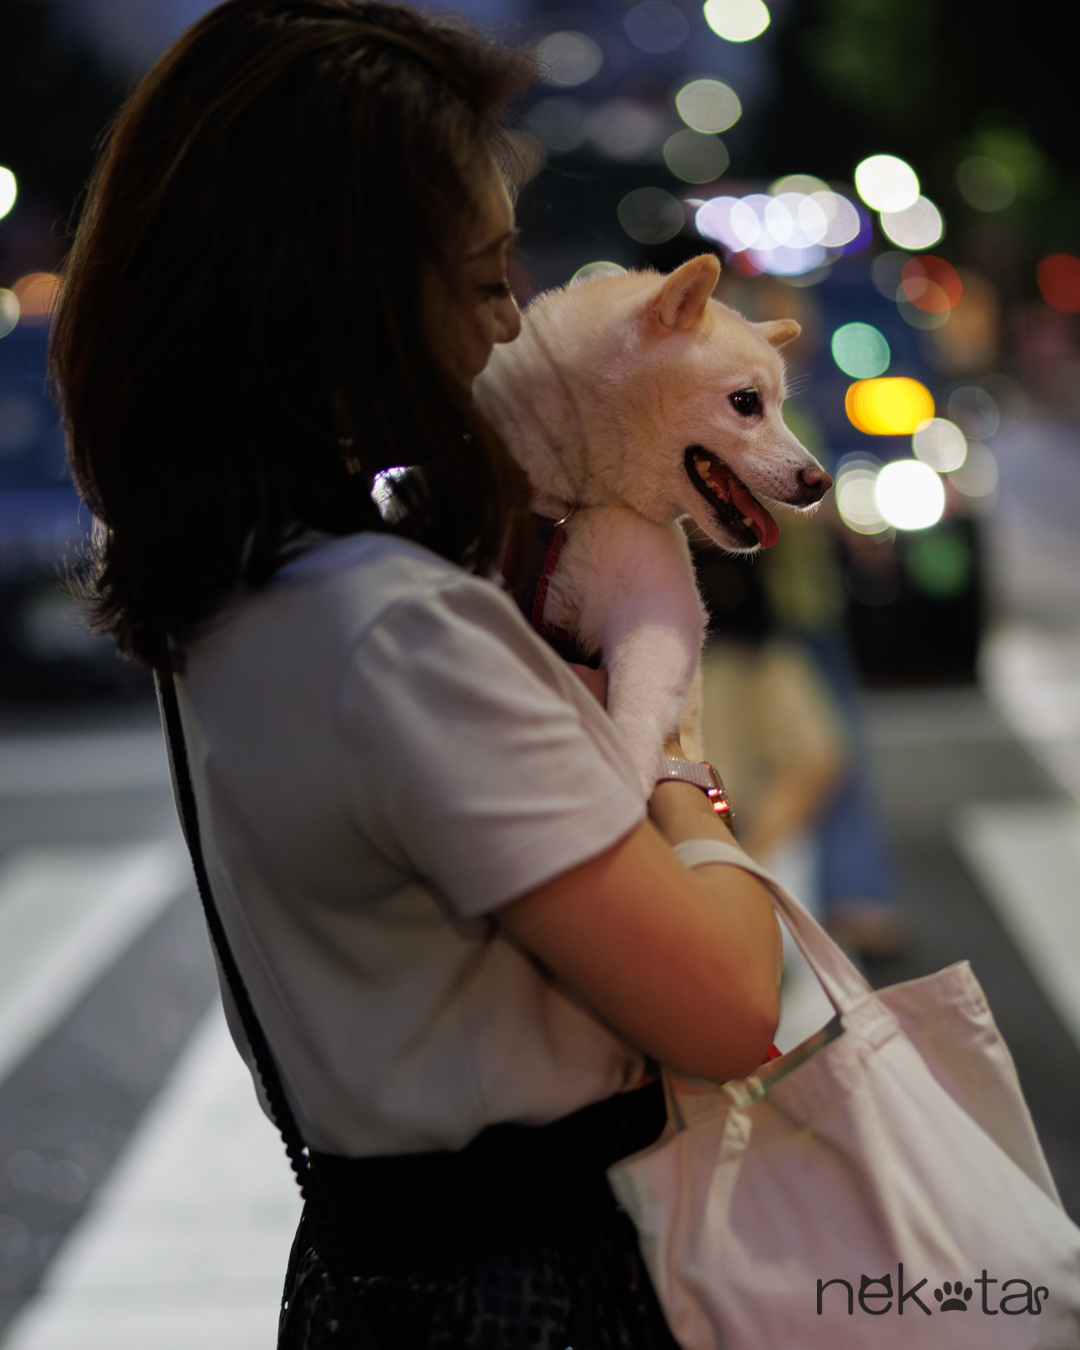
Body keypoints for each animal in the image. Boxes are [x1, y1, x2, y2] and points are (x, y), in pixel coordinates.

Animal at [475, 253, 832, 794]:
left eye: (782, 407)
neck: (569, 506)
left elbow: (633, 716)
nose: (821, 482)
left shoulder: (656, 613)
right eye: (747, 402)